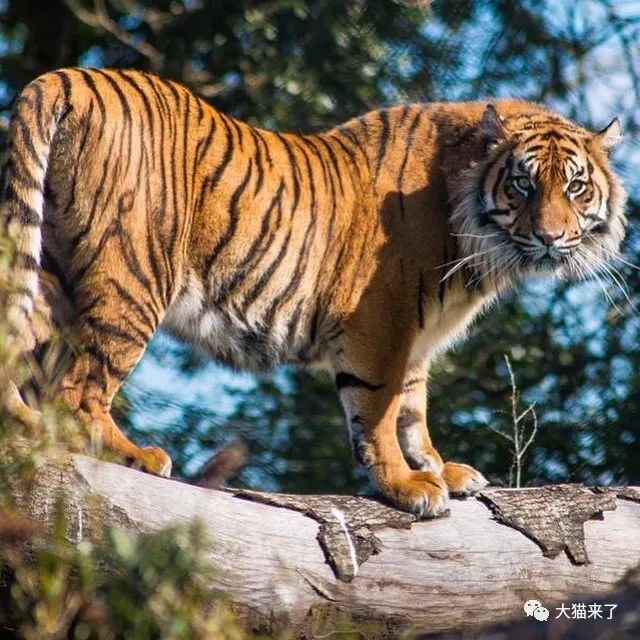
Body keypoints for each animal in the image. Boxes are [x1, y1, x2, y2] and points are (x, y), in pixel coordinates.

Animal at [0, 67, 626, 517]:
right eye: (522, 184)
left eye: (575, 187)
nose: (550, 237)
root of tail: (66, 76)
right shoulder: (381, 323)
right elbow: (379, 410)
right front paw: (406, 486)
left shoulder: (418, 337)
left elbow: (412, 410)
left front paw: (437, 469)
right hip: (134, 274)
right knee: (79, 389)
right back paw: (134, 453)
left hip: (51, 272)